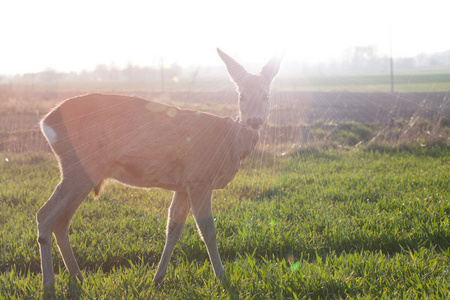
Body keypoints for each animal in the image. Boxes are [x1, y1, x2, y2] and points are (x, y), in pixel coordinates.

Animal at [37, 48, 282, 290]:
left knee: (61, 222)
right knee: (45, 215)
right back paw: (49, 285)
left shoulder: (183, 185)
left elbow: (173, 228)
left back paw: (77, 277)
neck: (230, 142)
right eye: (242, 96)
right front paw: (222, 278)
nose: (254, 120)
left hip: (84, 173)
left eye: (266, 95)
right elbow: (208, 230)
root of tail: (45, 123)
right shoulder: (200, 179)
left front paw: (158, 278)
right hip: (80, 167)